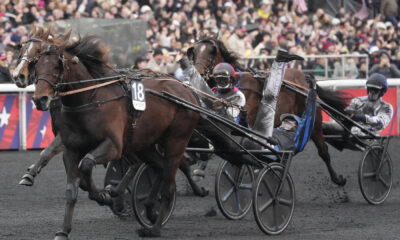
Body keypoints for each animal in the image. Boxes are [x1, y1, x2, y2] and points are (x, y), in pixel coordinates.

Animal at [187, 37, 346, 186]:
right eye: (195, 52)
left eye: (211, 52)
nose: (198, 74)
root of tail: (303, 78)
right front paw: (196, 165)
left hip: (315, 121)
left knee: (323, 150)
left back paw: (338, 178)